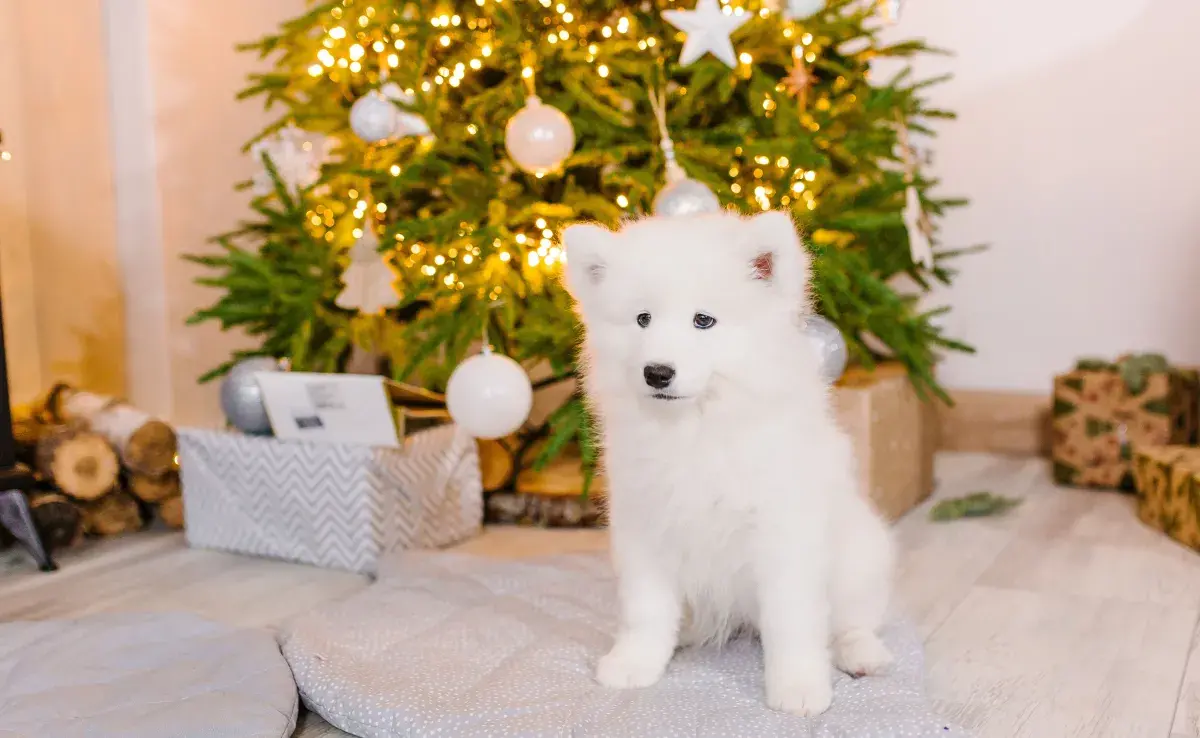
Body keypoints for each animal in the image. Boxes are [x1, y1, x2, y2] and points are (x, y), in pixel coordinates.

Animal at [561, 211, 892, 720]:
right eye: (642, 319)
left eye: (704, 320)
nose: (657, 373)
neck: (696, 425)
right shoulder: (644, 525)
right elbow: (646, 608)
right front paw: (635, 664)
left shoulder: (783, 532)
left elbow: (792, 619)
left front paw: (798, 687)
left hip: (861, 556)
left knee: (854, 619)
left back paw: (860, 653)